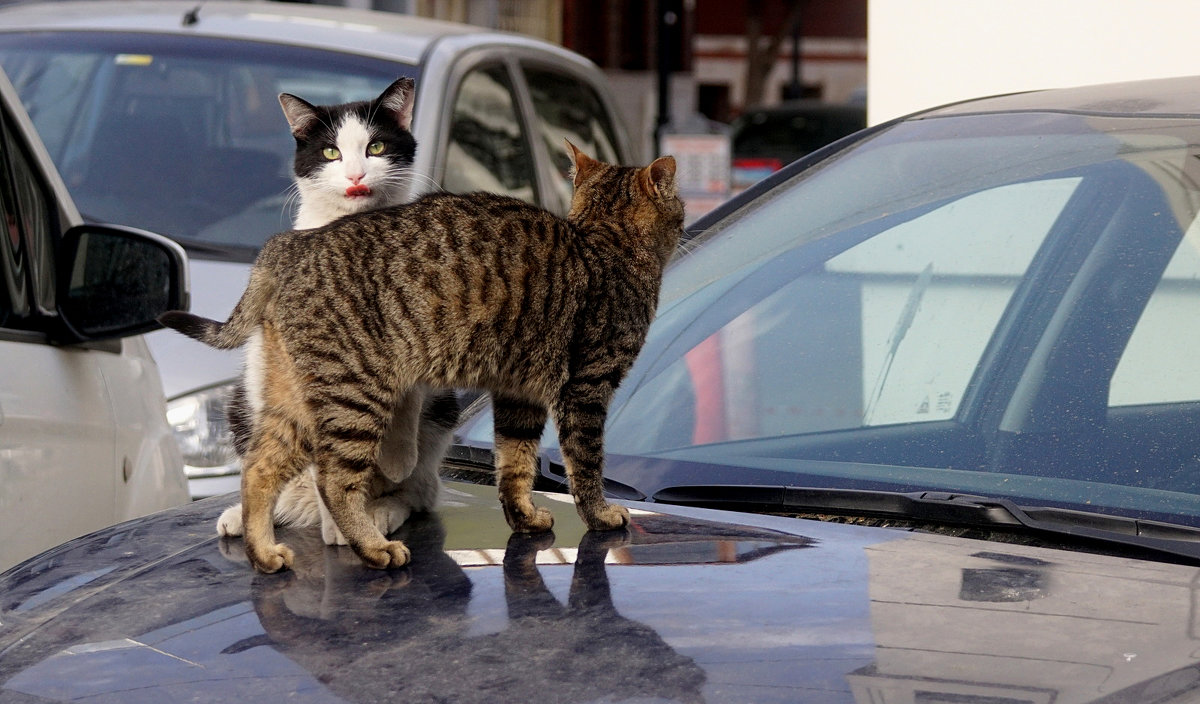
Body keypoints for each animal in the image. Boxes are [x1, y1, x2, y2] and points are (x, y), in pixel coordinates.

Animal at [160, 144, 686, 573]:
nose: (684, 217)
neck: (605, 243)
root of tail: (287, 244)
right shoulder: (585, 391)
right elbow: (586, 467)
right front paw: (600, 516)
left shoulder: (519, 392)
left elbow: (514, 466)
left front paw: (524, 518)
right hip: (355, 396)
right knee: (334, 481)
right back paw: (373, 548)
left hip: (295, 405)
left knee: (258, 471)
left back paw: (264, 554)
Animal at [218, 77, 456, 549]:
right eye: (331, 153)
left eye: (375, 147)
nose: (356, 175)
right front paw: (341, 527)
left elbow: (407, 403)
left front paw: (396, 458)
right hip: (245, 399)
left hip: (442, 417)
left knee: (420, 491)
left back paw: (382, 509)